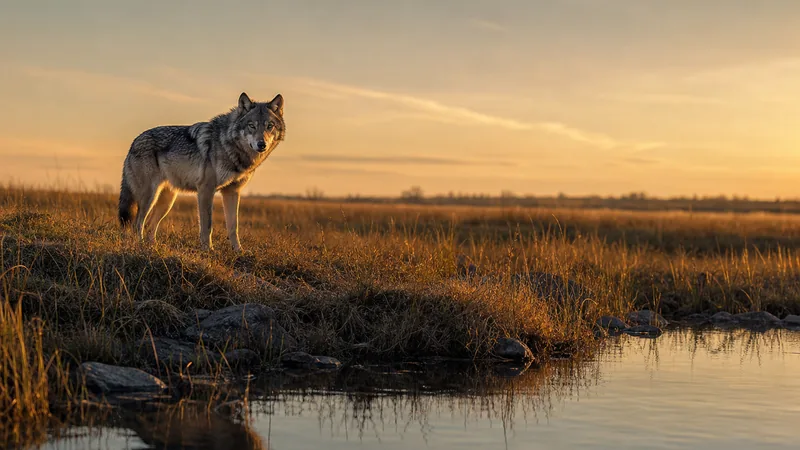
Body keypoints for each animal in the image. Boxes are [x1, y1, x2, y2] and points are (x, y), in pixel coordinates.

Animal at [118, 92, 285, 251]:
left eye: (269, 126)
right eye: (251, 125)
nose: (261, 144)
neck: (229, 146)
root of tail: (134, 142)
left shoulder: (232, 192)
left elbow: (233, 226)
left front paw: (239, 251)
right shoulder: (206, 189)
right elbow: (207, 226)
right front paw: (208, 250)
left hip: (167, 201)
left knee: (149, 225)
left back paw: (154, 248)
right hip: (149, 197)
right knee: (137, 224)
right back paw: (139, 247)